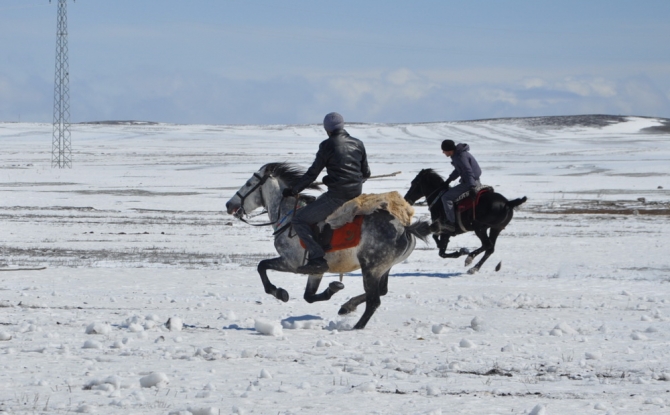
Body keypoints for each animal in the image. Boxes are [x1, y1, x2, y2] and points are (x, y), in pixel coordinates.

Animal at [228, 164, 434, 330]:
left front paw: (280, 293)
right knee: (380, 292)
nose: (229, 205)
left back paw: (357, 326)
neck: (288, 216)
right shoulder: (316, 270)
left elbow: (261, 266)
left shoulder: (291, 263)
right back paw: (346, 307)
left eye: (249, 183)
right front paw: (334, 287)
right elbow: (309, 296)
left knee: (374, 300)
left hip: (370, 268)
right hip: (383, 268)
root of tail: (406, 228)